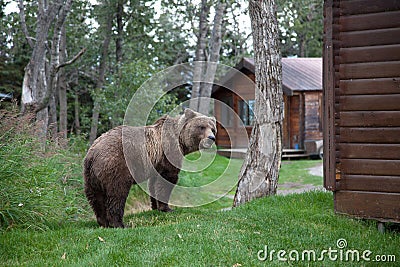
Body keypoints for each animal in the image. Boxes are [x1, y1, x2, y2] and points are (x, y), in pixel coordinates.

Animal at [82, 109, 217, 228]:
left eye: (213, 129)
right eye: (202, 127)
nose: (211, 138)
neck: (180, 141)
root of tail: (93, 153)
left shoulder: (156, 164)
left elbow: (153, 184)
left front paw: (155, 207)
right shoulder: (168, 154)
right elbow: (167, 180)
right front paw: (167, 208)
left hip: (91, 175)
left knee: (95, 197)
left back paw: (103, 221)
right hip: (117, 165)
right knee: (117, 193)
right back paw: (119, 224)